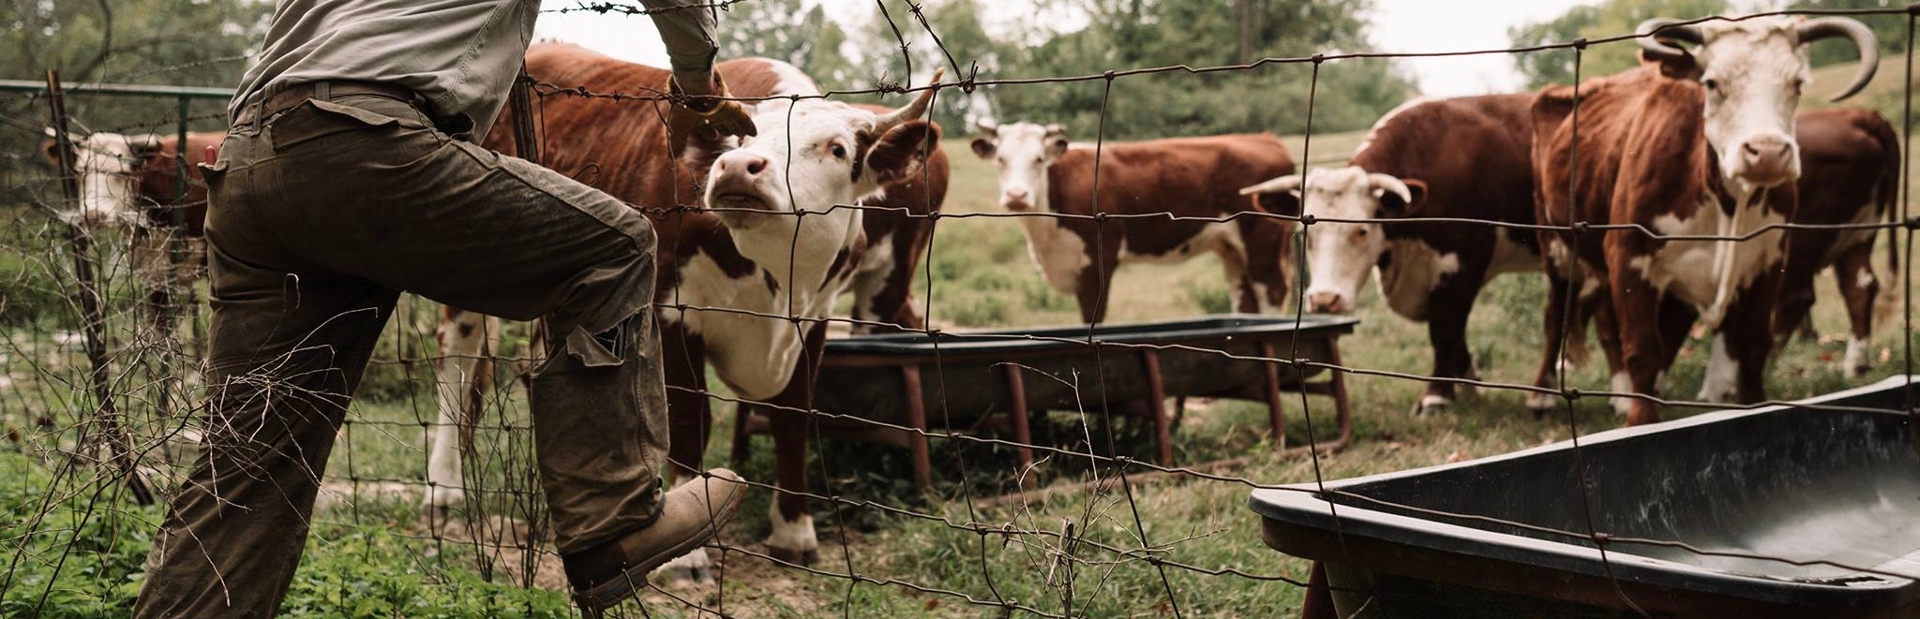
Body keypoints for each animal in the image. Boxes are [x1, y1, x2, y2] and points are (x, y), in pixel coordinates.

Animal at [432, 44, 948, 576]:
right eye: (737, 140)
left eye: (838, 149)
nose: (738, 167)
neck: (779, 282)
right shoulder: (671, 312)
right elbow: (688, 418)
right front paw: (689, 550)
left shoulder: (813, 321)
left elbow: (793, 418)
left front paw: (794, 531)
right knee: (457, 357)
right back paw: (445, 488)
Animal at [967, 122, 1297, 321]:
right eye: (1001, 159)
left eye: (1038, 159)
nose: (1016, 195)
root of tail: (1265, 138)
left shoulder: (1098, 260)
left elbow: (1093, 316)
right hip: (1231, 249)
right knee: (1246, 302)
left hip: (1263, 242)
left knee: (1273, 293)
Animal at [1236, 94, 1536, 413]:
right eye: (1306, 232)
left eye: (1362, 231)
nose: (1324, 300)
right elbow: (1454, 334)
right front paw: (1469, 387)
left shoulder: (1463, 267)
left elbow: (1445, 330)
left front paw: (1437, 396)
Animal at [1528, 15, 1873, 424]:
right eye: (1711, 82)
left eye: (1797, 83)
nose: (1767, 153)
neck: (1725, 200)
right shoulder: (1628, 257)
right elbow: (1643, 350)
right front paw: (1640, 419)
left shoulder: (1768, 262)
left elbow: (1752, 344)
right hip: (1557, 245)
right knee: (1555, 316)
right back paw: (1544, 396)